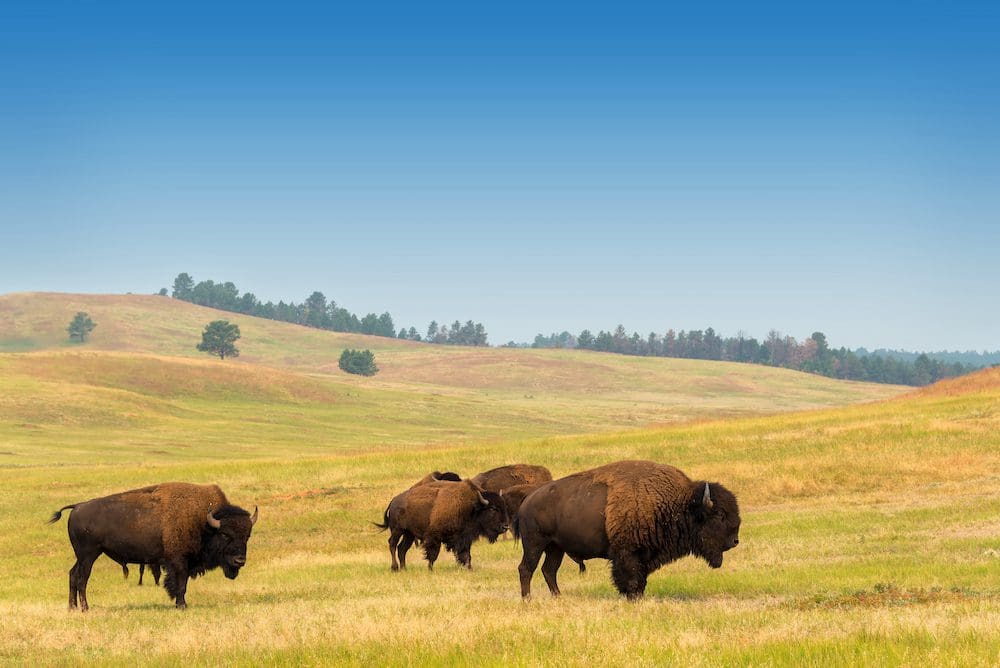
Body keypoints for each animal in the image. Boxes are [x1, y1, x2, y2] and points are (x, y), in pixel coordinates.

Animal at [48, 482, 258, 610]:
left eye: (247, 535)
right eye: (225, 534)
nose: (240, 561)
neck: (204, 522)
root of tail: (77, 506)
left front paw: (180, 605)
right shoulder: (179, 562)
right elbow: (181, 585)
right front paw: (182, 606)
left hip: (82, 556)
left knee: (73, 575)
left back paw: (72, 608)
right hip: (89, 555)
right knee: (82, 579)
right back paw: (85, 608)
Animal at [374, 479, 509, 570]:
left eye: (503, 506)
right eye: (492, 508)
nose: (505, 526)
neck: (471, 507)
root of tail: (393, 501)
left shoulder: (464, 538)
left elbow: (466, 555)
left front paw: (469, 568)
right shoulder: (435, 537)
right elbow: (433, 554)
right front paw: (430, 569)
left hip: (409, 534)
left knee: (402, 549)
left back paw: (404, 568)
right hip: (397, 530)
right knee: (392, 544)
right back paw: (395, 568)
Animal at [515, 460, 740, 600]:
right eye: (720, 515)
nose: (735, 541)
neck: (677, 503)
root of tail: (527, 500)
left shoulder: (644, 556)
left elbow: (640, 580)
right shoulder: (627, 554)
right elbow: (631, 580)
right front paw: (632, 598)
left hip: (556, 548)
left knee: (549, 570)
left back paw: (558, 597)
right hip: (535, 543)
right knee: (526, 568)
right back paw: (528, 600)